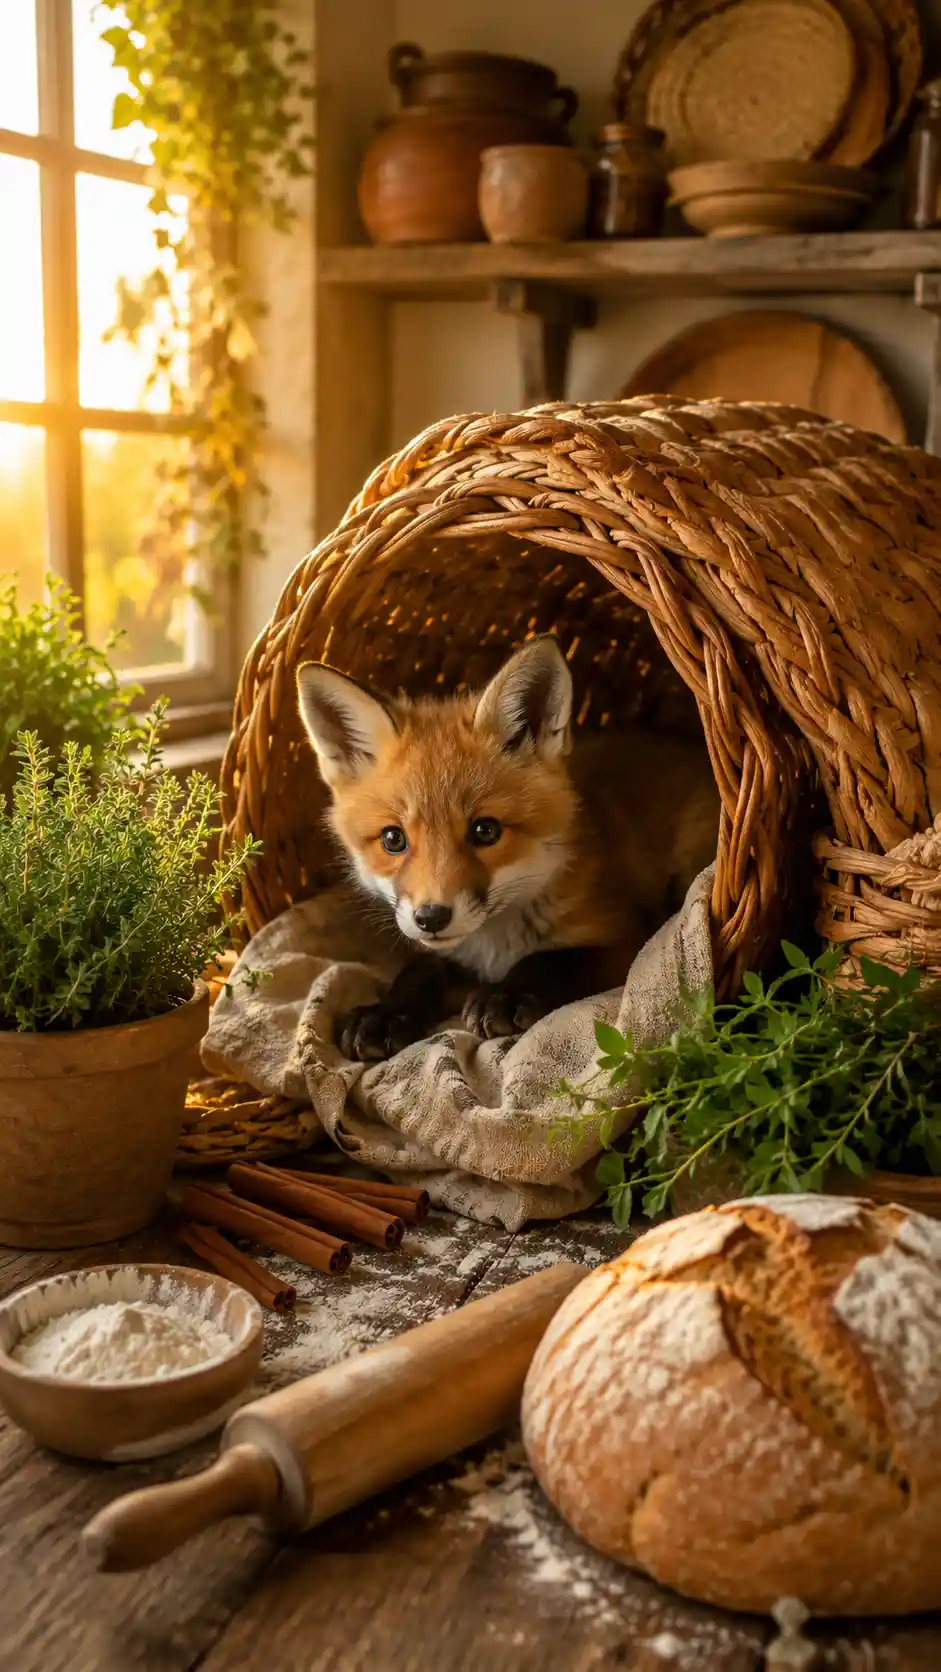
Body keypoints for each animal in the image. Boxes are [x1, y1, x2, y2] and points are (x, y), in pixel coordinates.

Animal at [296, 635, 719, 1062]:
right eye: (393, 839)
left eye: (485, 831)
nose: (431, 918)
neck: (493, 946)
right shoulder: (454, 957)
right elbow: (420, 971)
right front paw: (384, 1014)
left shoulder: (627, 939)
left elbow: (552, 960)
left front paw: (506, 995)